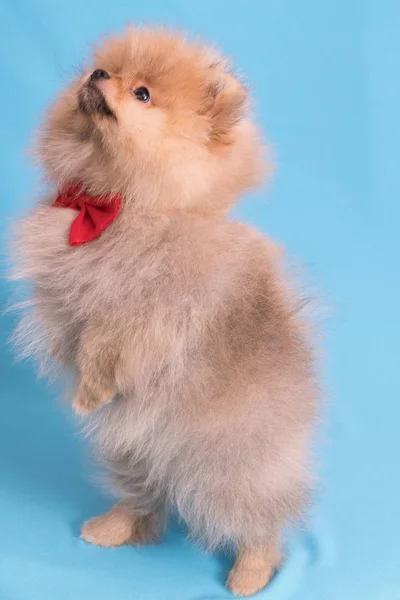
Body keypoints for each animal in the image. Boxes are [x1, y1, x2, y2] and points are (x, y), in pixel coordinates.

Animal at [12, 27, 318, 596]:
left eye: (143, 95)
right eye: (107, 69)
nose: (97, 75)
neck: (122, 207)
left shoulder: (152, 313)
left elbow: (105, 344)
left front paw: (88, 393)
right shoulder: (66, 298)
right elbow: (75, 331)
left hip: (237, 462)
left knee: (259, 518)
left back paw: (251, 570)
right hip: (132, 448)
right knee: (145, 491)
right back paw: (116, 525)